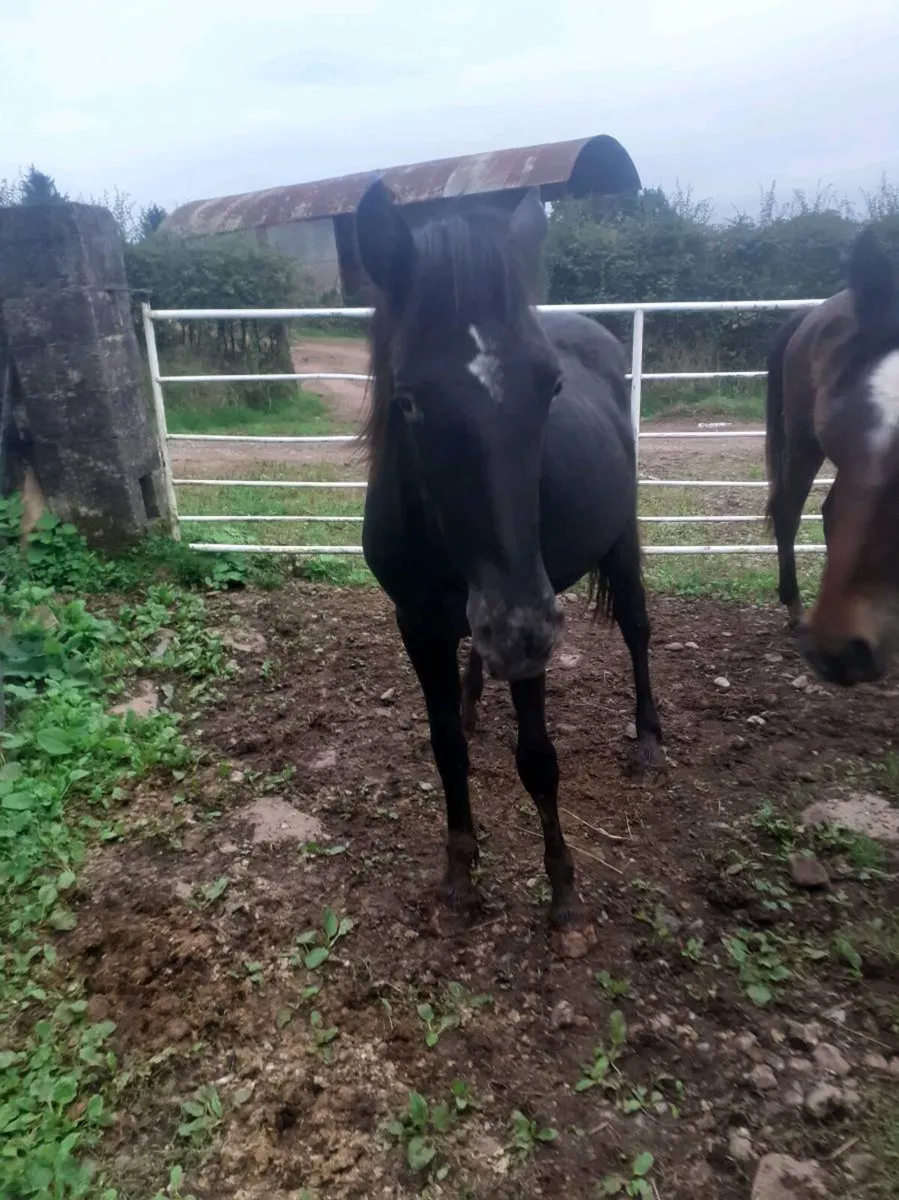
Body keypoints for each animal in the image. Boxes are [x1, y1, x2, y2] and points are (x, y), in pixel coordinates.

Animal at [353, 180, 663, 954]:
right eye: (408, 401)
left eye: (550, 386)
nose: (521, 631)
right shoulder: (417, 624)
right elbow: (445, 751)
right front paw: (459, 877)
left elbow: (538, 760)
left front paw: (565, 896)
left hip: (617, 542)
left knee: (638, 629)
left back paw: (648, 740)